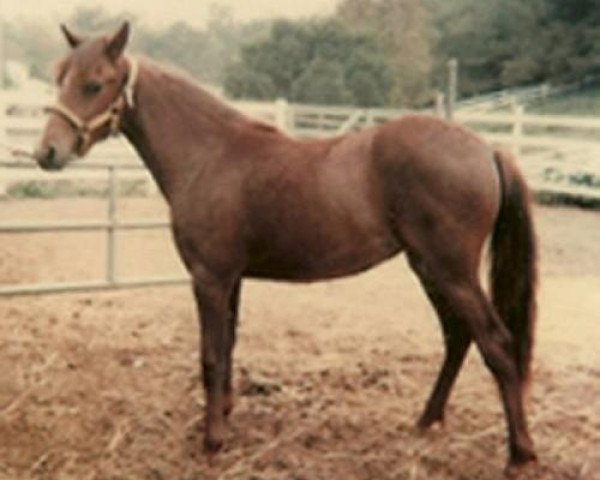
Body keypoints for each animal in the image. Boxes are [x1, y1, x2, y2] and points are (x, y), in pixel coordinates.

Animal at [32, 21, 540, 472]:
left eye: (94, 83)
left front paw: (212, 442)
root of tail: (487, 149)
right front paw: (226, 416)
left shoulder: (209, 278)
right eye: (61, 77)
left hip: (450, 272)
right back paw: (426, 421)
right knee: (458, 337)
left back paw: (519, 455)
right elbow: (229, 346)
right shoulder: (231, 278)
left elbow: (211, 356)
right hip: (429, 268)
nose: (47, 153)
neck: (209, 153)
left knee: (495, 344)